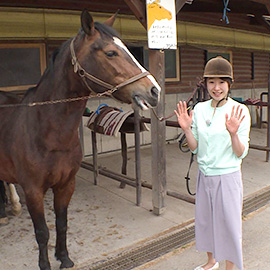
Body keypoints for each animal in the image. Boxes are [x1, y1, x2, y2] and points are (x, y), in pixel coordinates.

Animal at [0, 10, 160, 270]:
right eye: (110, 52)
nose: (154, 90)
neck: (46, 132)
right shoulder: (33, 190)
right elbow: (42, 231)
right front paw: (45, 264)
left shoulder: (66, 185)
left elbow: (62, 223)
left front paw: (64, 258)